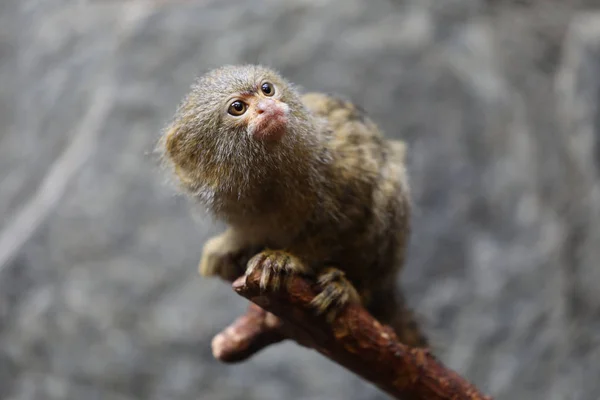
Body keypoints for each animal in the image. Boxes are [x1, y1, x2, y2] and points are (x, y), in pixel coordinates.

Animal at [161, 63, 426, 346]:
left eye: (267, 89)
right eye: (238, 107)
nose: (268, 106)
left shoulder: (345, 167)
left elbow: (348, 218)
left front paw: (288, 259)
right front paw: (227, 247)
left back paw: (349, 289)